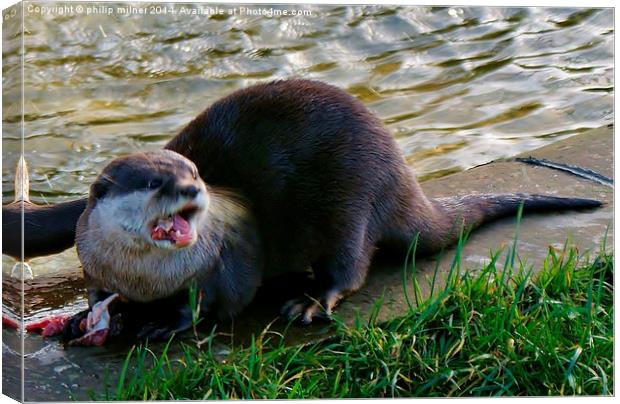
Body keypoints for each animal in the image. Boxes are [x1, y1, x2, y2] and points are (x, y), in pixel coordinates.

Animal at [1, 79, 600, 334]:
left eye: (193, 173)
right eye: (155, 181)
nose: (194, 192)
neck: (142, 275)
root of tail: (403, 175)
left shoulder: (223, 262)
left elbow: (211, 303)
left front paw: (164, 325)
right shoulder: (93, 260)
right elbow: (97, 292)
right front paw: (88, 315)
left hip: (354, 200)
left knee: (351, 266)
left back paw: (311, 303)